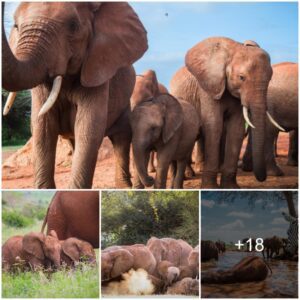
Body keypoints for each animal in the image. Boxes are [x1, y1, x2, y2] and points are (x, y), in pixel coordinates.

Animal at [2, 2, 148, 189]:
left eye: (73, 26)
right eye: (16, 26)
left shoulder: (97, 66)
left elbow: (89, 127)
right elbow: (43, 128)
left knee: (121, 139)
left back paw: (125, 187)